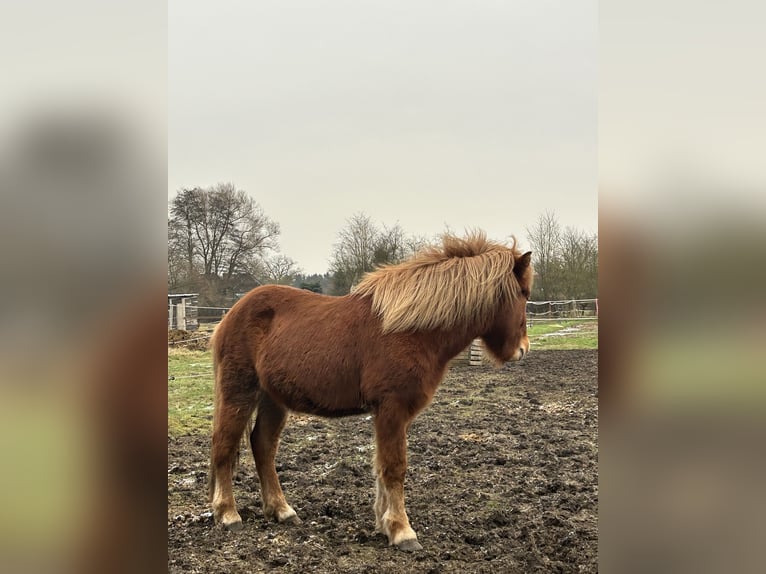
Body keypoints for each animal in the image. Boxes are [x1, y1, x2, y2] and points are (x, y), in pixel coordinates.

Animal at [210, 233, 536, 552]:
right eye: (524, 293)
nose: (522, 349)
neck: (412, 331)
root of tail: (231, 315)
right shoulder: (391, 408)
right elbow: (394, 467)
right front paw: (402, 531)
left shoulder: (391, 414)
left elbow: (381, 467)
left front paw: (384, 524)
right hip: (239, 391)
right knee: (224, 444)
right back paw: (227, 513)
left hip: (273, 399)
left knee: (263, 445)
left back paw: (281, 510)